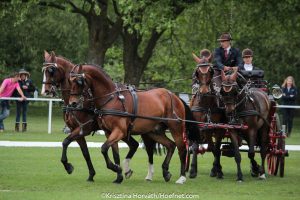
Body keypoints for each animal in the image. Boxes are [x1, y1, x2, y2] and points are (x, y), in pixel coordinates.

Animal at [41, 51, 143, 183]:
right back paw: (123, 172)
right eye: (43, 70)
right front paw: (91, 174)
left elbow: (65, 141)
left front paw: (68, 166)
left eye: (51, 70)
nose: (45, 91)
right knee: (133, 145)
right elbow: (85, 153)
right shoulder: (77, 131)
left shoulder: (84, 128)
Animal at [68, 65, 199, 184]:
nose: (72, 103)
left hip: (176, 128)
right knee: (171, 145)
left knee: (182, 149)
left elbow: (104, 148)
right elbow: (114, 153)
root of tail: (174, 96)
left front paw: (116, 168)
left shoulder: (119, 131)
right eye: (69, 81)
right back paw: (165, 172)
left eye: (79, 81)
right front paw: (118, 175)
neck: (111, 98)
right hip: (153, 131)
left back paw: (182, 177)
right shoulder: (109, 132)